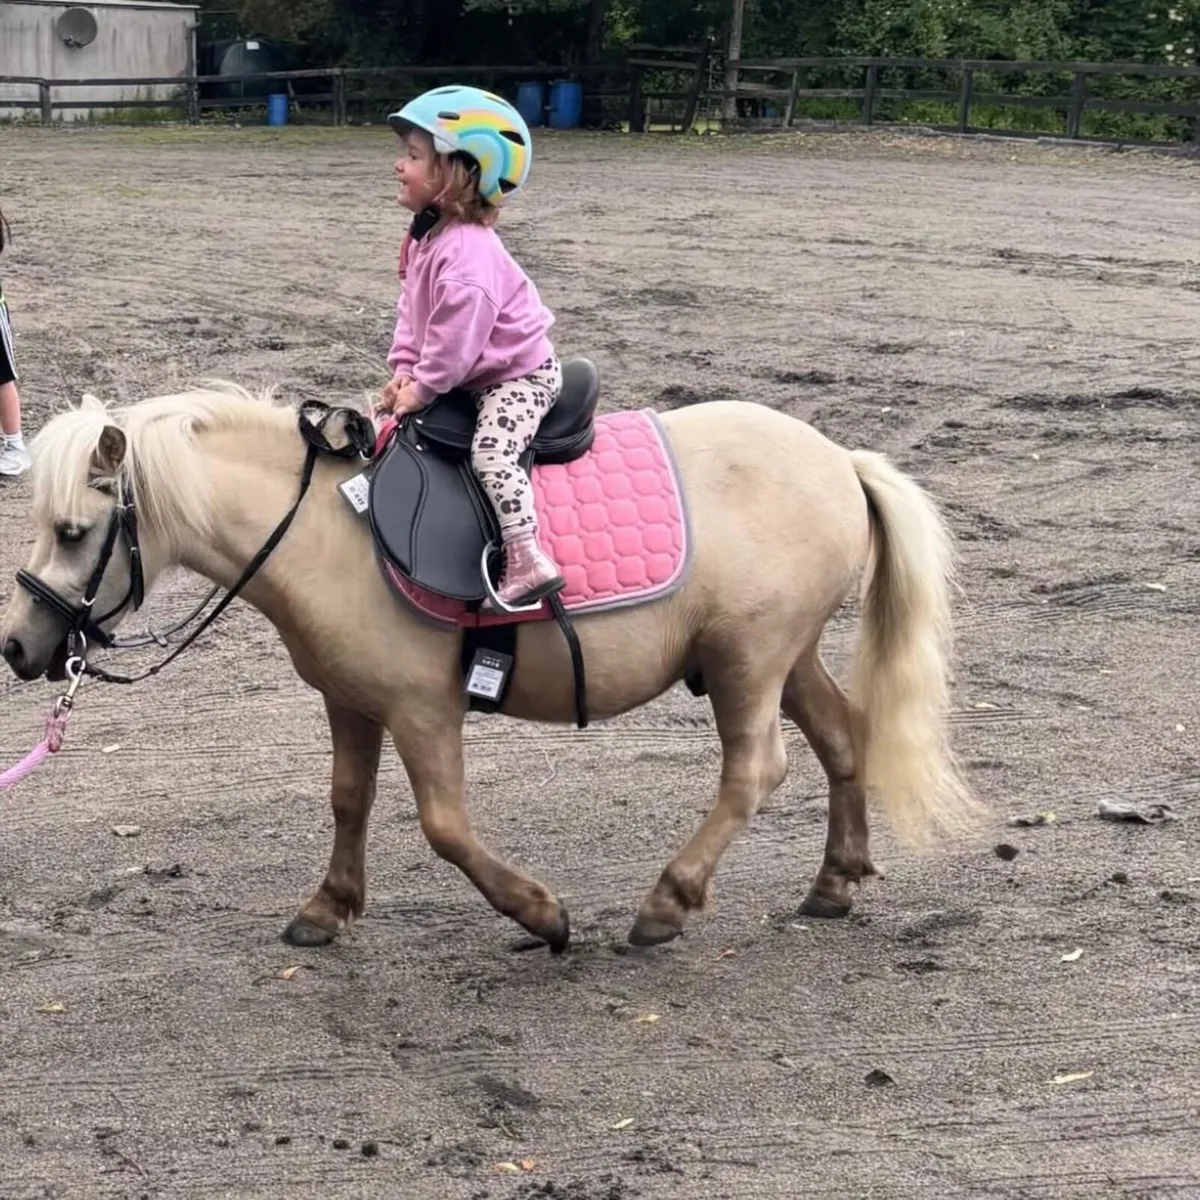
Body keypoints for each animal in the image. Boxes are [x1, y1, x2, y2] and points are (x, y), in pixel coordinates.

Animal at [0, 384, 981, 952]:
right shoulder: (350, 704)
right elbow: (348, 802)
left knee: (756, 769)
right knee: (842, 738)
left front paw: (541, 915)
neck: (327, 528)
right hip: (786, 654)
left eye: (74, 531)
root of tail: (840, 460)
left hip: (748, 660)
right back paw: (834, 882)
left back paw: (666, 904)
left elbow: (444, 827)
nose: (16, 645)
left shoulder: (423, 709)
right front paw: (328, 906)